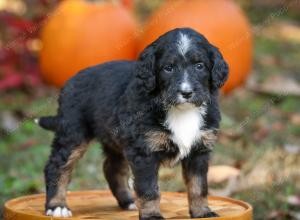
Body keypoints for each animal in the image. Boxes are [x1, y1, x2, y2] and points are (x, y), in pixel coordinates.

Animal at [38, 27, 230, 218]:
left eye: (200, 66)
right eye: (168, 68)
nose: (187, 92)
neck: (181, 111)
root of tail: (70, 82)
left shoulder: (199, 150)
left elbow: (199, 186)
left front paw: (202, 212)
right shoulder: (144, 151)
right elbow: (149, 189)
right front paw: (152, 215)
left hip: (115, 139)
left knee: (112, 168)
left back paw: (128, 201)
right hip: (73, 133)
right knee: (56, 166)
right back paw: (57, 206)